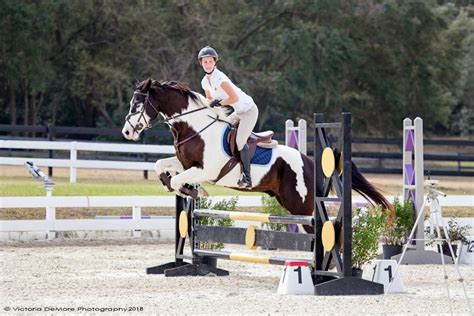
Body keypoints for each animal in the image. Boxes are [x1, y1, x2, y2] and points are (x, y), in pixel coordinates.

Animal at [122, 78, 392, 232]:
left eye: (138, 105)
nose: (127, 131)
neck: (194, 127)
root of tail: (310, 162)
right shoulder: (184, 163)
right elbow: (160, 165)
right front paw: (175, 185)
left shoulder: (205, 170)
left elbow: (179, 180)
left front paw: (195, 191)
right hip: (289, 202)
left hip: (301, 204)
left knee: (322, 226)